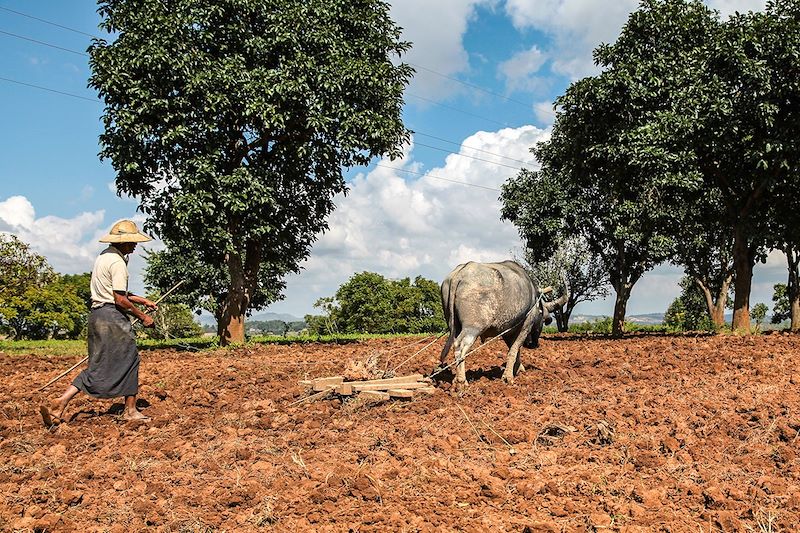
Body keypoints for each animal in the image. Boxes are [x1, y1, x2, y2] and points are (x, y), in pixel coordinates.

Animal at [438, 260, 568, 384]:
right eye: (544, 319)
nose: (533, 345)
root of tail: (460, 274)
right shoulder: (525, 326)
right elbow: (514, 349)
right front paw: (508, 377)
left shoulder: (507, 331)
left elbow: (514, 349)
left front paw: (518, 369)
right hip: (472, 328)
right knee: (460, 345)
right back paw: (461, 380)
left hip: (454, 325)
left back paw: (455, 379)